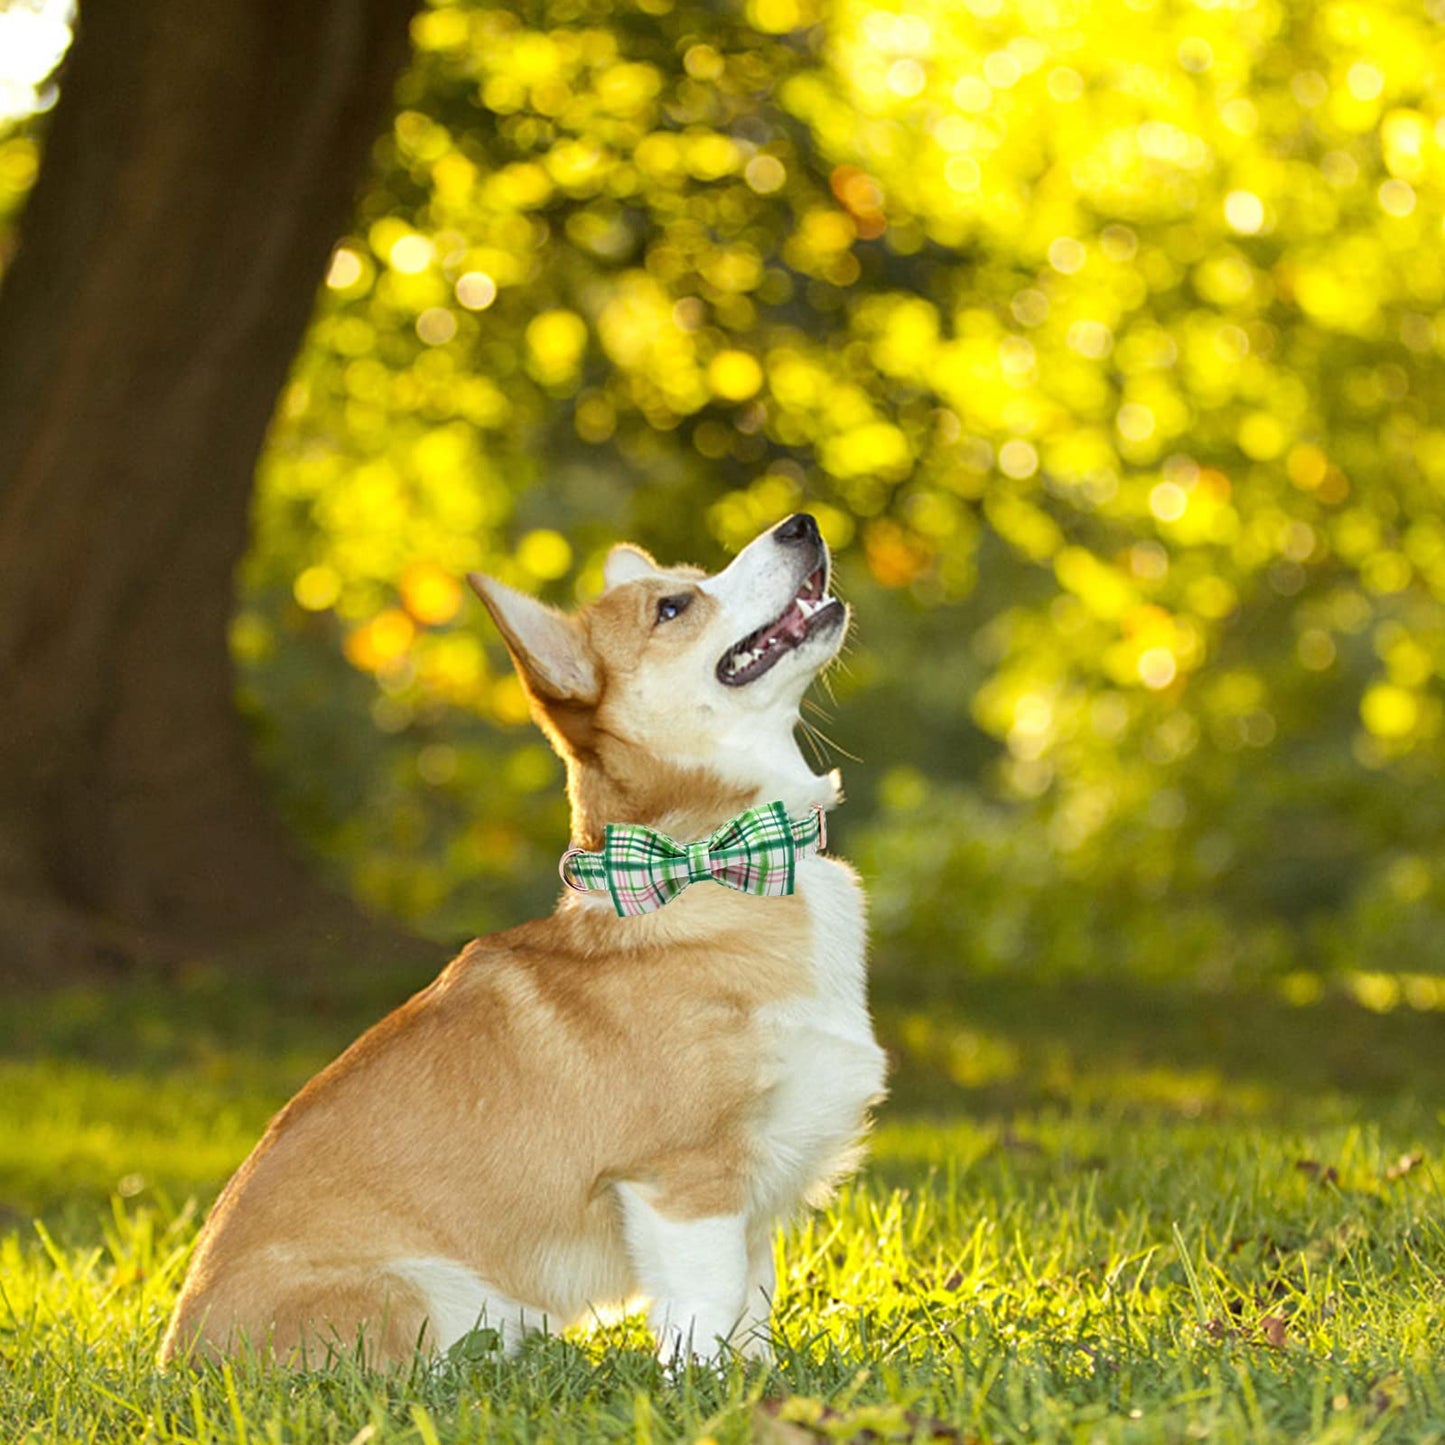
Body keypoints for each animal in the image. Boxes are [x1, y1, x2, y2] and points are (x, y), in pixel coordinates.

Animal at [158, 517, 878, 1364]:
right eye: (671, 606)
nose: (801, 522)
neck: (714, 862)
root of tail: (178, 1362)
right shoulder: (684, 1179)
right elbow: (707, 1308)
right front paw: (705, 1386)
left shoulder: (753, 1196)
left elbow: (752, 1312)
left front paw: (763, 1379)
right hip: (427, 1290)